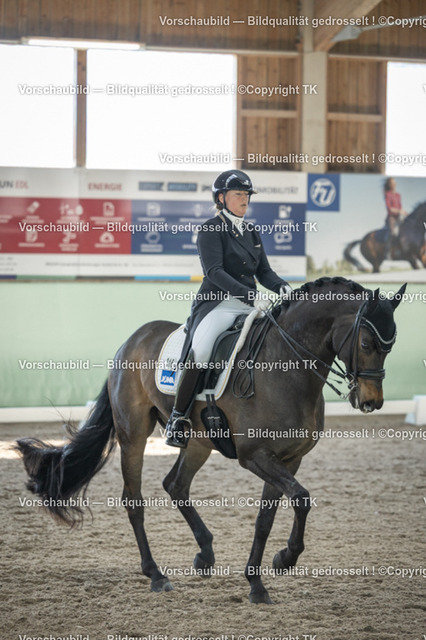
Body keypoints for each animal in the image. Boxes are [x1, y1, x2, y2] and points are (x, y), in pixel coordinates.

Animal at [16, 277, 406, 604]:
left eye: (391, 346)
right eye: (367, 342)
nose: (371, 402)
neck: (286, 365)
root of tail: (132, 339)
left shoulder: (288, 459)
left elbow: (268, 517)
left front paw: (259, 581)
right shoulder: (255, 455)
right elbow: (301, 498)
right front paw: (285, 559)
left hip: (199, 441)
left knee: (175, 484)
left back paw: (205, 553)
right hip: (134, 434)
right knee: (134, 500)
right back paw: (156, 574)